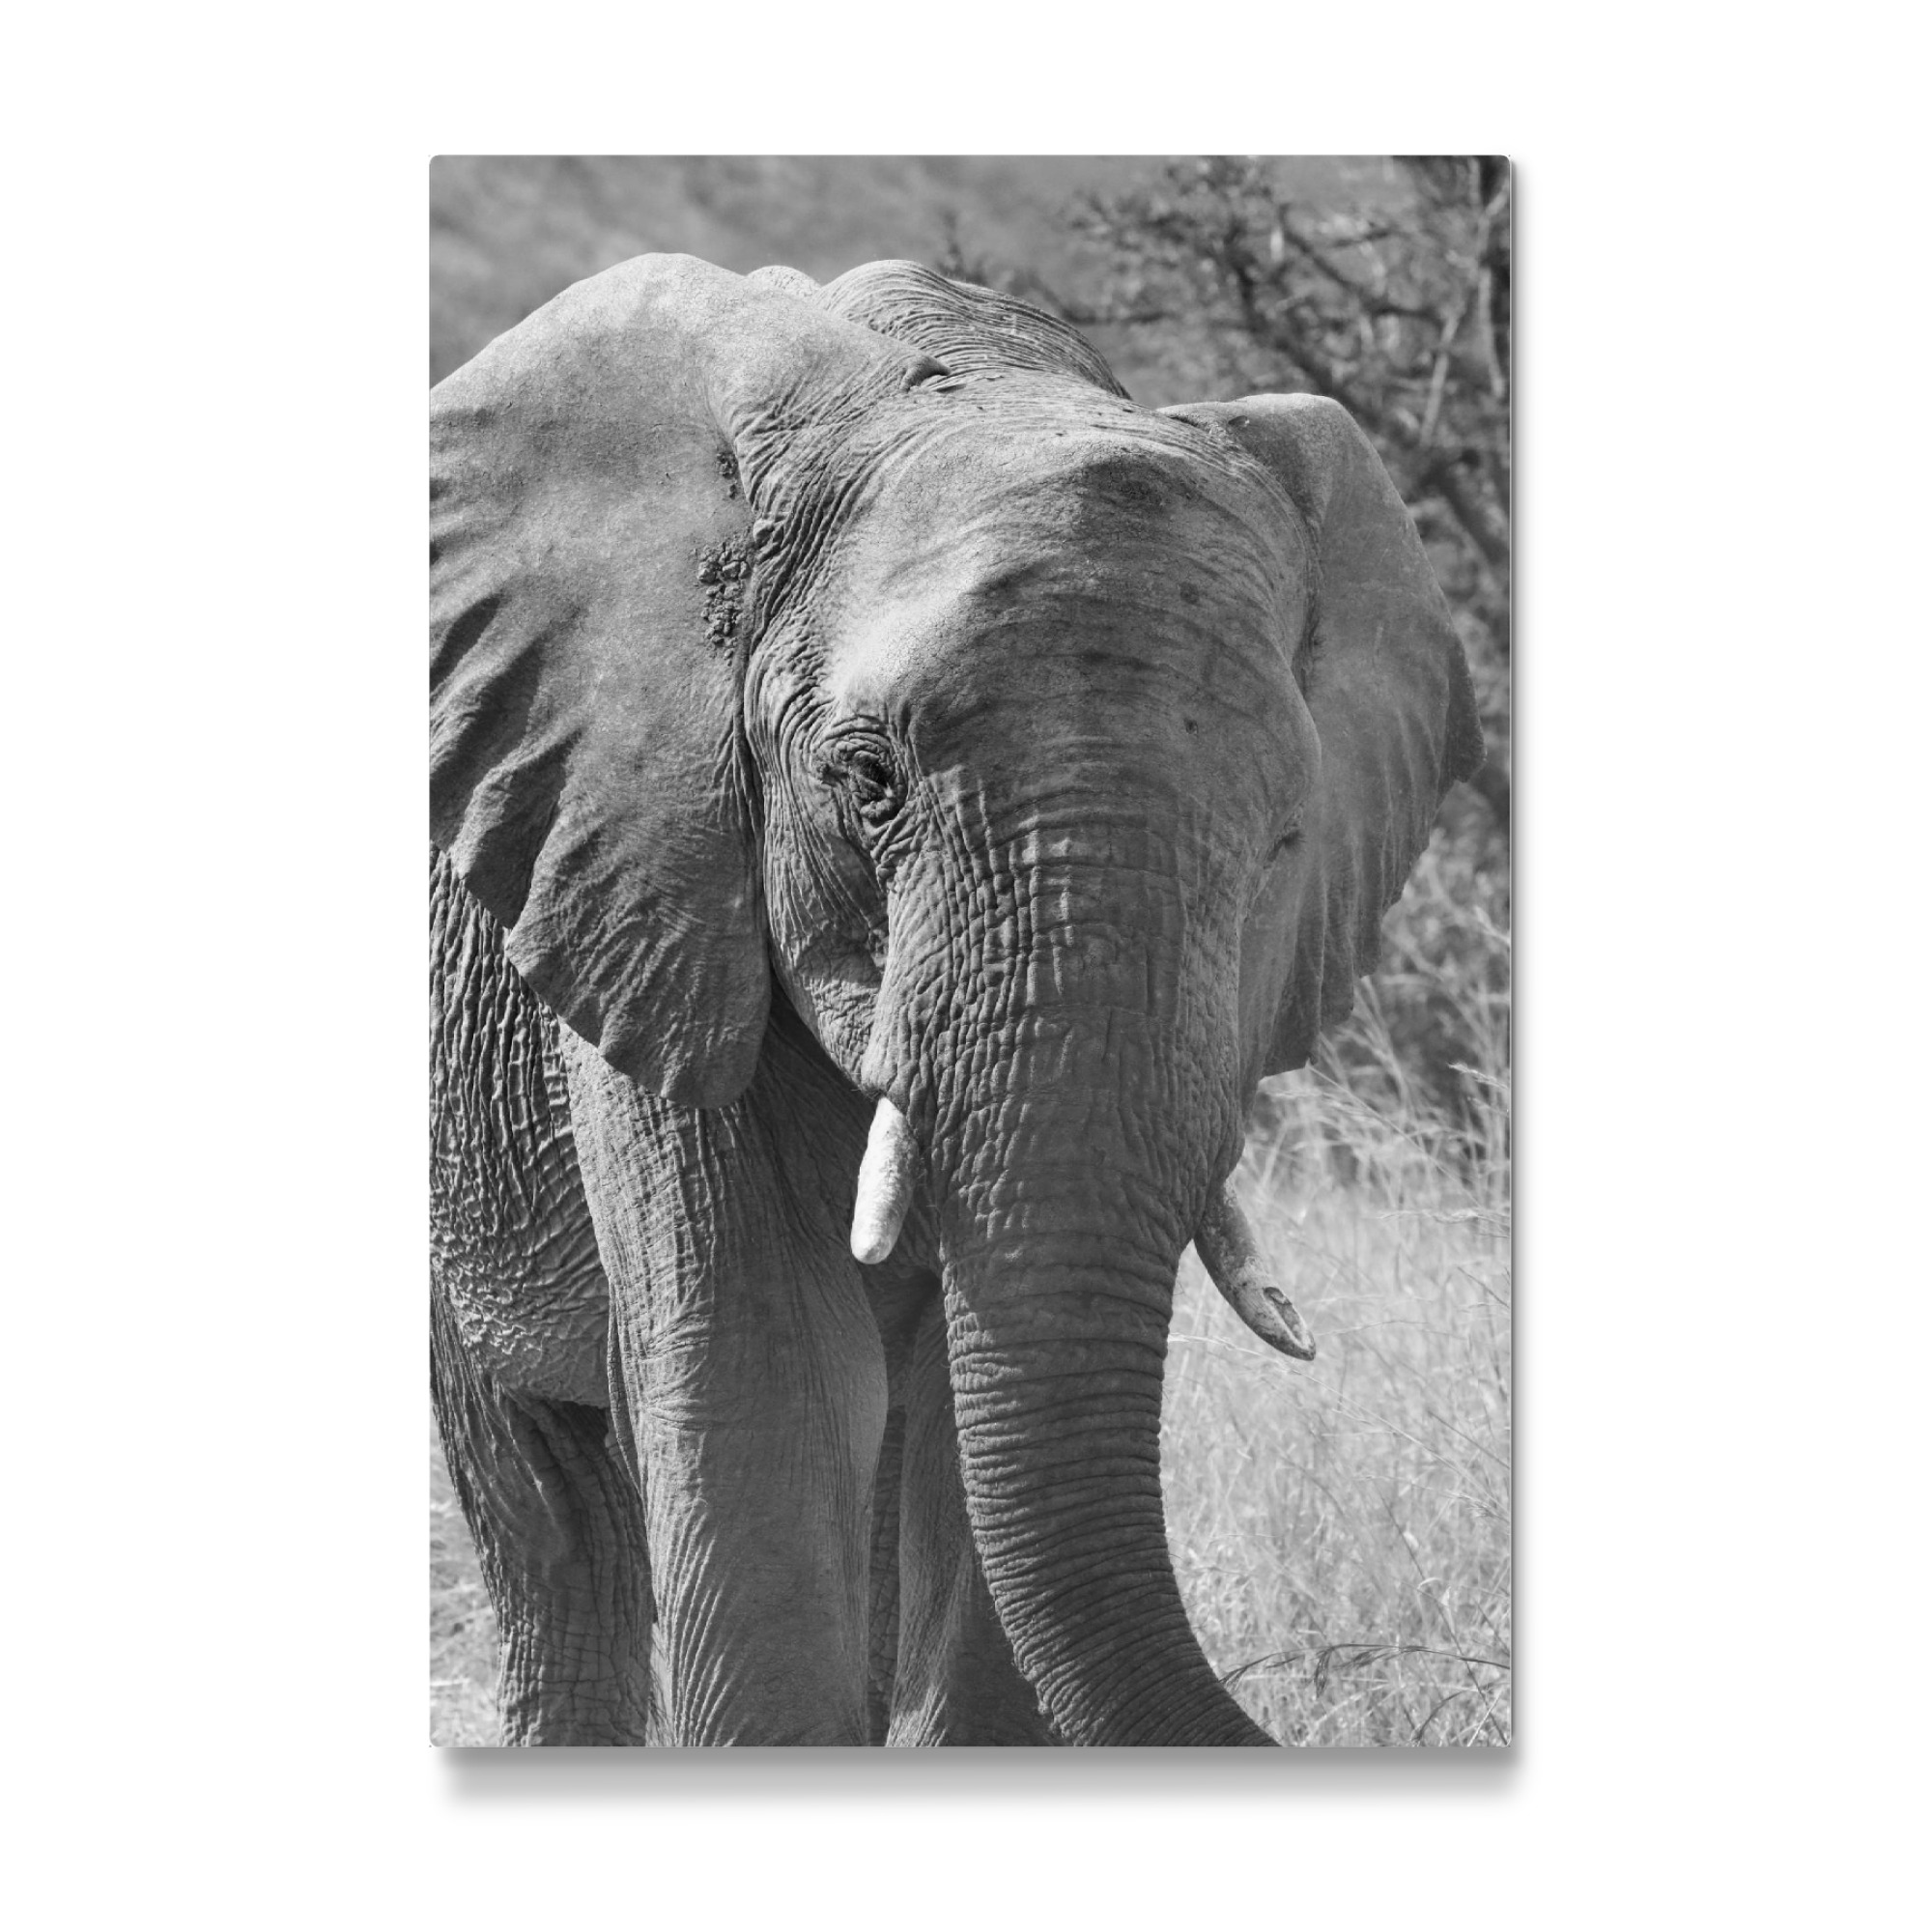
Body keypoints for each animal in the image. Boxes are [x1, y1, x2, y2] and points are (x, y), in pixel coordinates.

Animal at [429, 252, 1482, 1747]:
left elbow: (961, 1423)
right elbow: (768, 1387)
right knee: (546, 1512)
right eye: (866, 779)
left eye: (1286, 836)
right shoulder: (653, 884)